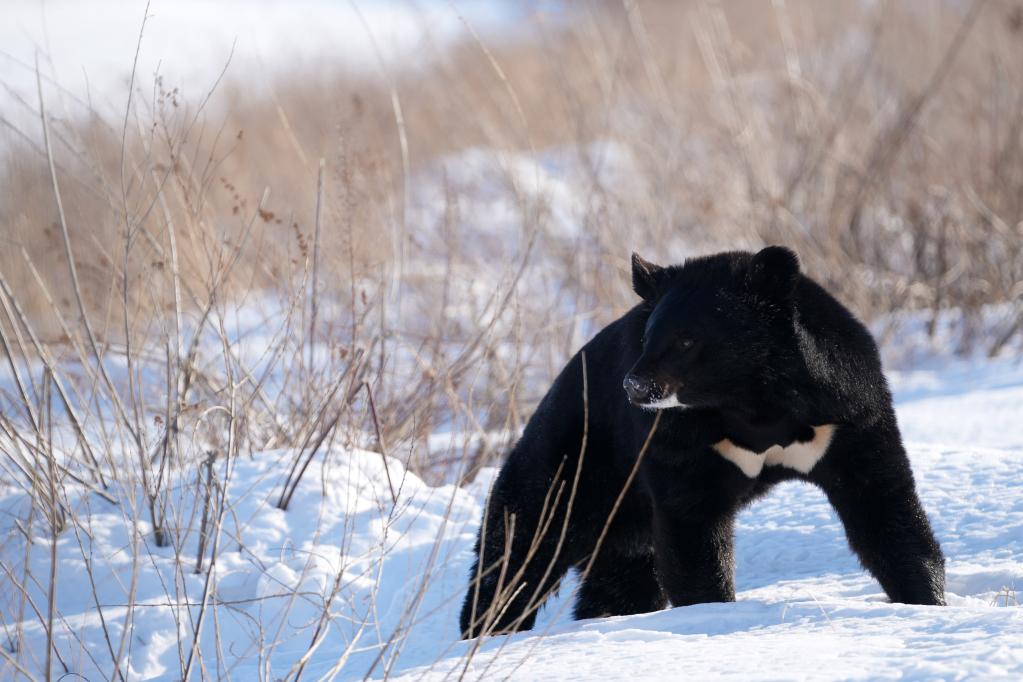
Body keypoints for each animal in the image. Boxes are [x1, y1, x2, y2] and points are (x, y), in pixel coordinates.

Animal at [460, 246, 945, 642]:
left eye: (688, 339)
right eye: (647, 336)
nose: (635, 386)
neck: (755, 403)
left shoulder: (846, 414)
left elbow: (882, 504)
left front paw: (927, 600)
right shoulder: (678, 439)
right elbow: (694, 528)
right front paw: (712, 612)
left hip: (622, 520)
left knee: (620, 581)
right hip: (572, 465)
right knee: (519, 549)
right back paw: (485, 632)